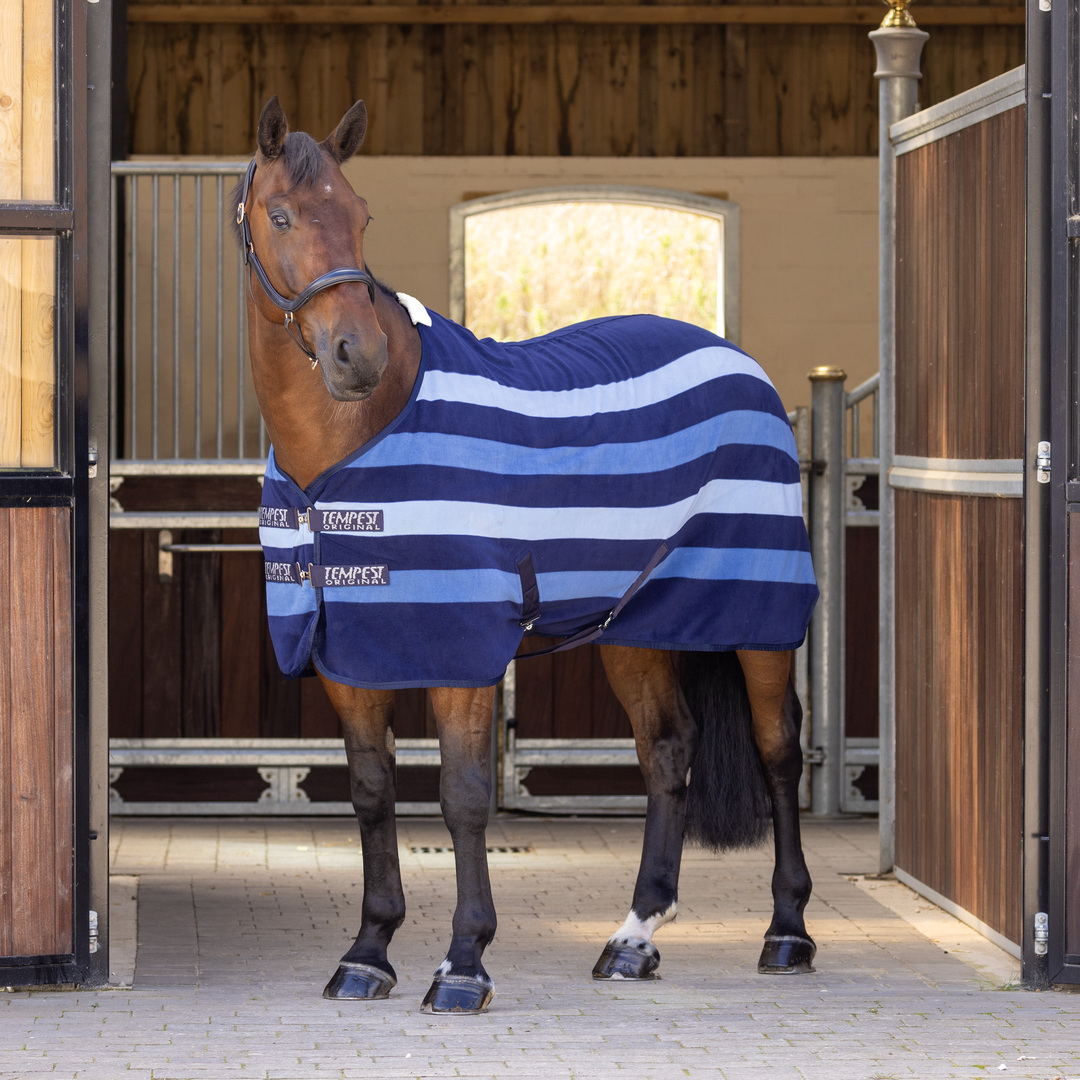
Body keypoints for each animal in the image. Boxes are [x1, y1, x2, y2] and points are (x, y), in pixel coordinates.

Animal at [235, 96, 819, 1014]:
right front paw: (368, 953)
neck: (351, 444)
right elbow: (370, 793)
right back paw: (632, 938)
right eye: (282, 215)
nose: (356, 356)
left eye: (361, 216)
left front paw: (464, 963)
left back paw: (786, 932)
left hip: (759, 618)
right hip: (634, 629)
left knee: (778, 753)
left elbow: (464, 797)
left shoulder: (465, 650)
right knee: (668, 751)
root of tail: (739, 363)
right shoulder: (346, 652)